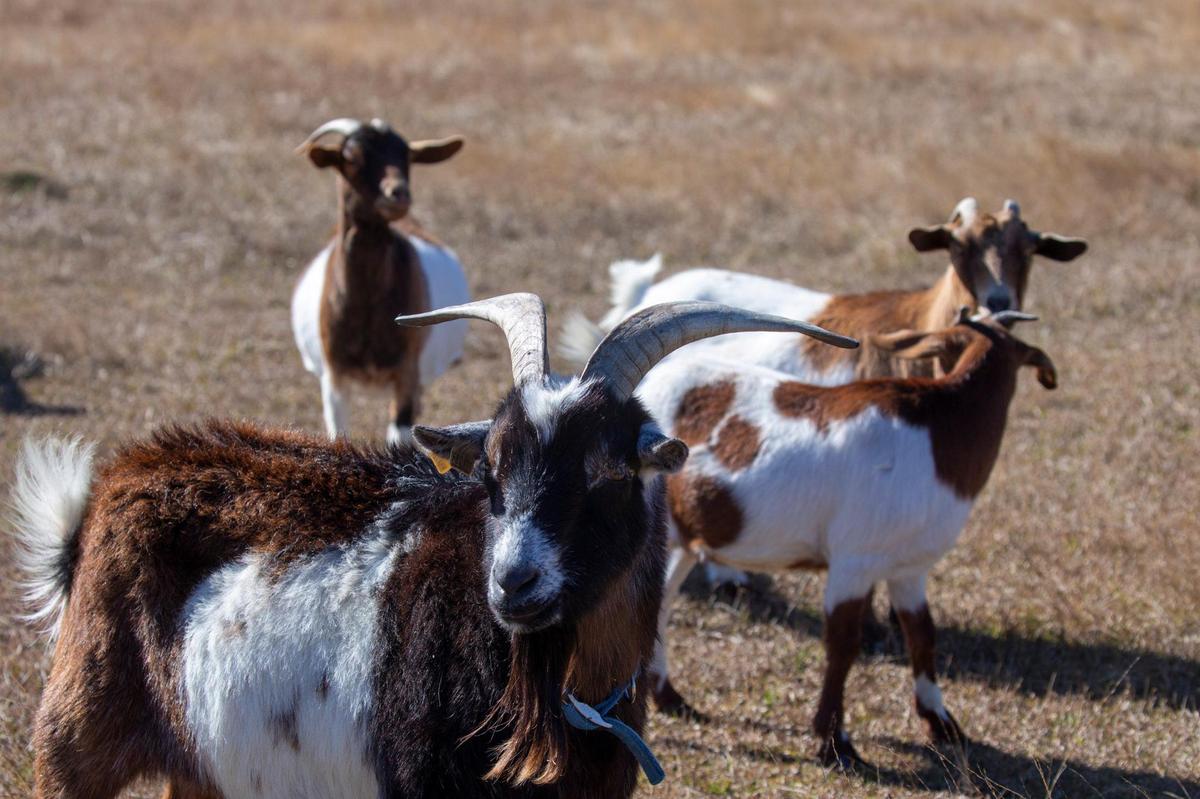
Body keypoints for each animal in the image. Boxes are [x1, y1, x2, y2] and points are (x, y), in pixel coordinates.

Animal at [10, 295, 855, 798]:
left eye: (610, 468)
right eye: (491, 468)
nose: (514, 582)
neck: (563, 694)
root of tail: (112, 483)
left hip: (209, 764)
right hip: (73, 739)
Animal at [633, 309, 1057, 766]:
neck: (935, 434)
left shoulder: (910, 567)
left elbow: (922, 634)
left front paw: (941, 722)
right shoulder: (854, 560)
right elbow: (843, 645)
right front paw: (834, 741)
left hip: (680, 542)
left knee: (659, 607)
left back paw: (669, 697)